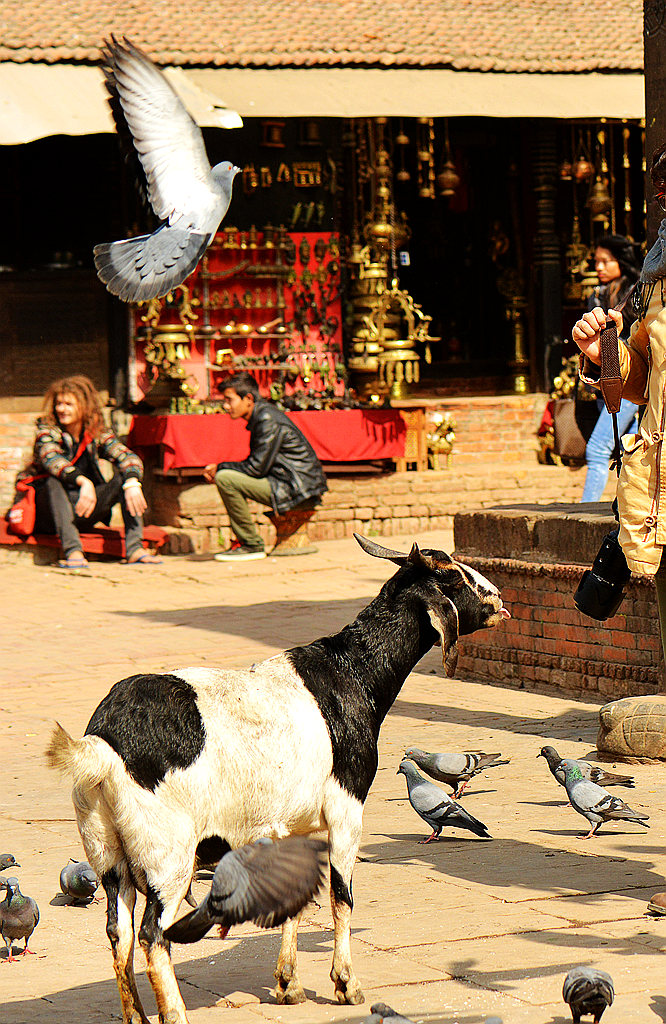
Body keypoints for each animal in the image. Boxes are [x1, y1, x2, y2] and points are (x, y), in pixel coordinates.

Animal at [44, 536, 506, 1024]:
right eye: (453, 576)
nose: (499, 600)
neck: (352, 674)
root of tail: (101, 744)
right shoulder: (346, 808)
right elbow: (342, 895)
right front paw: (346, 985)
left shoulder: (293, 824)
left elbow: (296, 897)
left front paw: (288, 986)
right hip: (167, 854)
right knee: (153, 934)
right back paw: (176, 1014)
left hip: (107, 854)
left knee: (120, 933)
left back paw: (136, 1015)